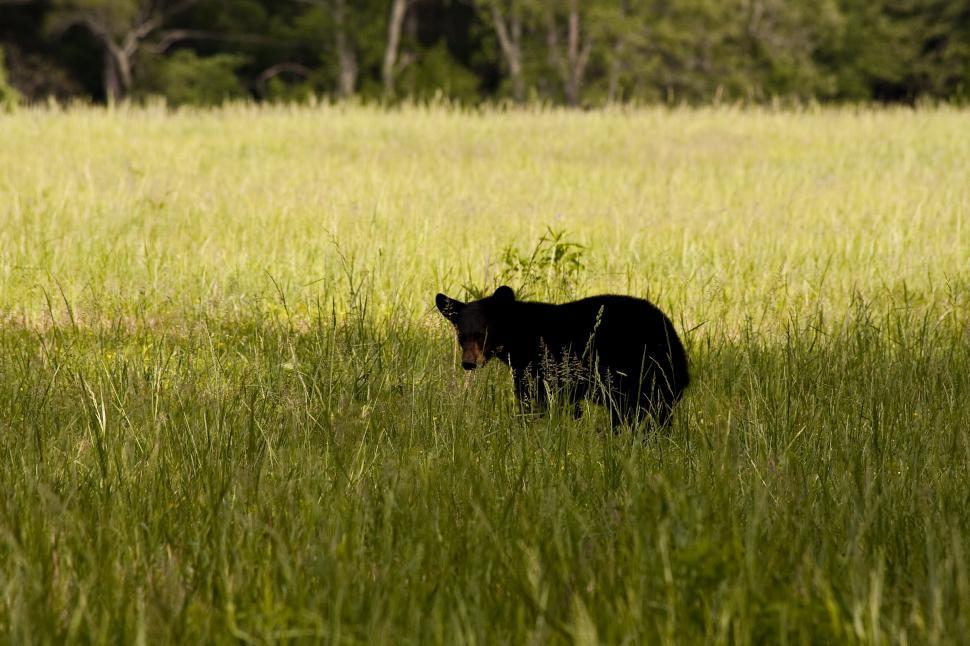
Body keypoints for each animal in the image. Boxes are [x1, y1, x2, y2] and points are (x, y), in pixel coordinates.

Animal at [435, 285, 690, 429]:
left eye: (483, 333)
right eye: (461, 335)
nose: (469, 363)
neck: (519, 333)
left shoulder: (540, 365)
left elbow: (535, 401)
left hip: (638, 373)